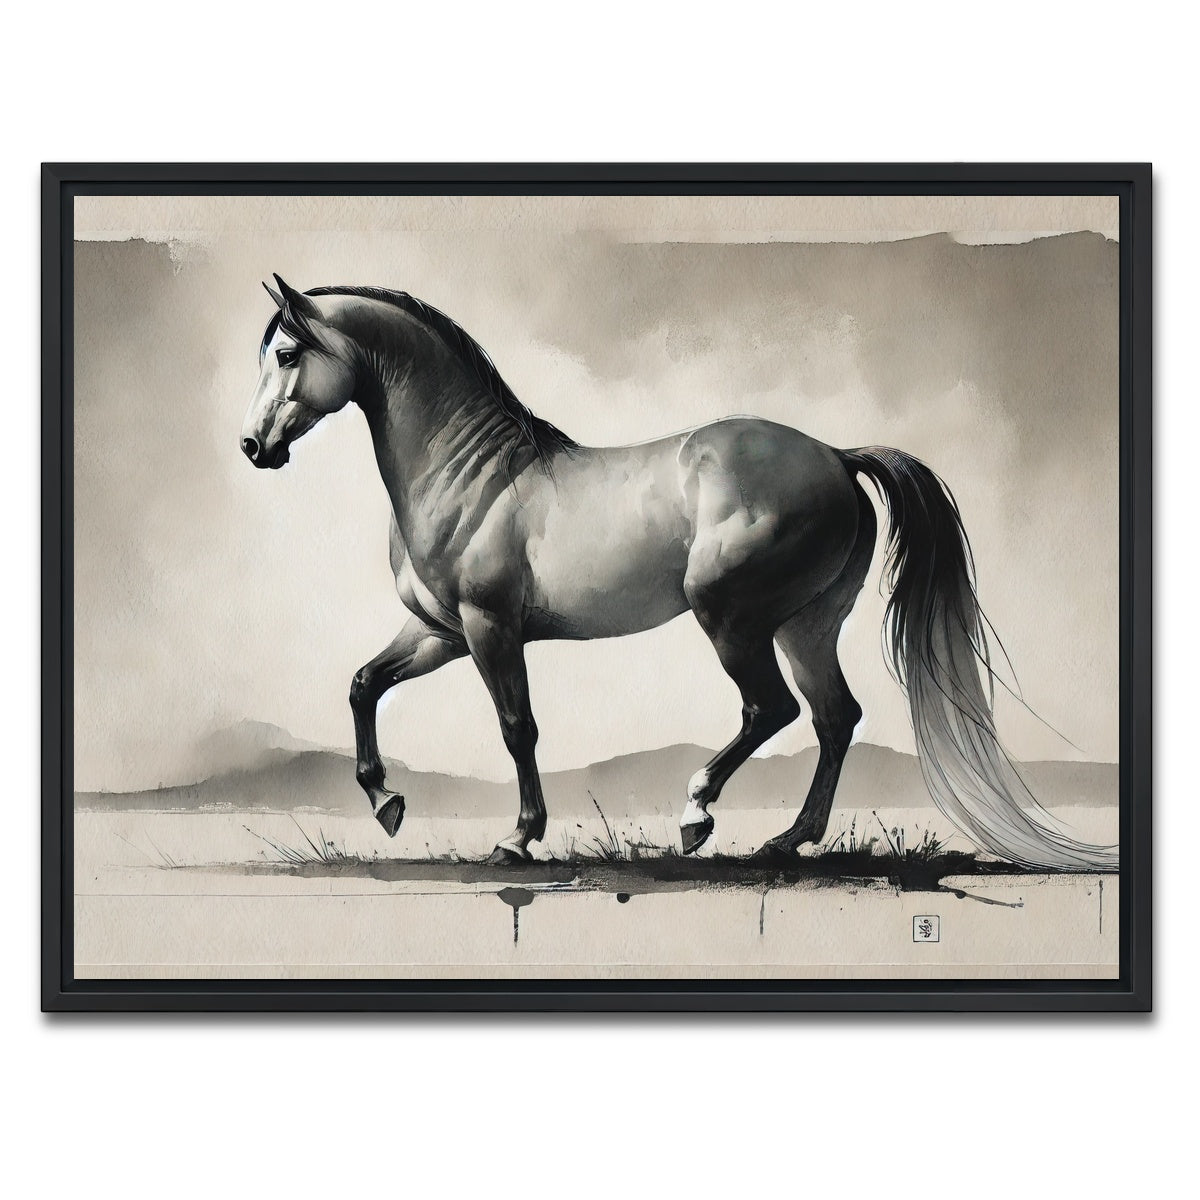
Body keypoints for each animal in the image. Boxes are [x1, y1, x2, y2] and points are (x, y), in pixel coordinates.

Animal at [240, 275, 1117, 872]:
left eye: (286, 353)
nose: (254, 447)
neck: (475, 476)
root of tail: (837, 457)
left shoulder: (491, 630)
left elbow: (518, 727)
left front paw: (519, 838)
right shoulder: (439, 632)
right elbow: (363, 685)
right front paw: (387, 802)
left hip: (730, 616)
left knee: (771, 710)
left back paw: (699, 814)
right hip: (806, 625)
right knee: (834, 717)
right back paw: (786, 840)